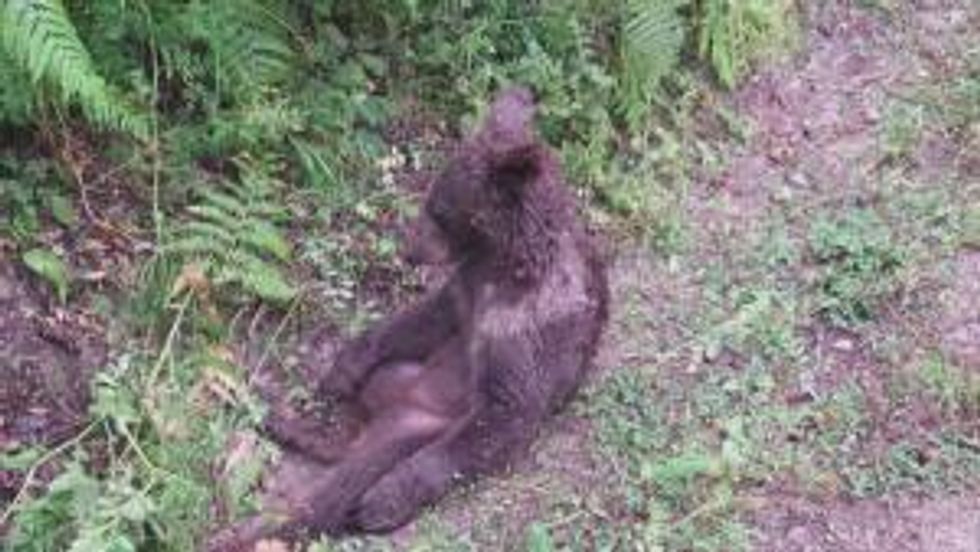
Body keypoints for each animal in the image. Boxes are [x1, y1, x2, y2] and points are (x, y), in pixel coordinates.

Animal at [207, 86, 604, 548]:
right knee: (353, 424)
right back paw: (287, 421)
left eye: (440, 212)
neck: (504, 265)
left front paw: (384, 501)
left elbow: (505, 412)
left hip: (415, 425)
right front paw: (340, 369)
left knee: (349, 477)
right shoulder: (465, 289)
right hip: (395, 378)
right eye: (431, 201)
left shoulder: (528, 329)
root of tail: (391, 411)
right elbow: (420, 320)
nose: (407, 248)